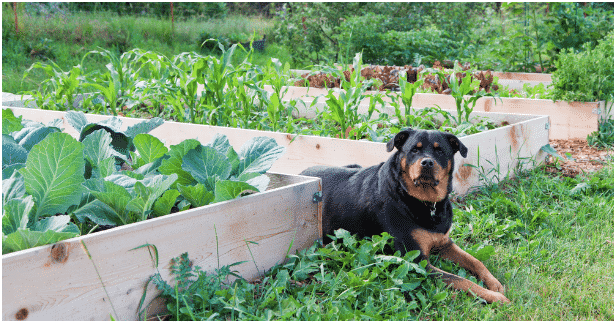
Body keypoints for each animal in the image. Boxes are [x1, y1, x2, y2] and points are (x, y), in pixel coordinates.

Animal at [302, 127, 510, 304]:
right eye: (414, 150)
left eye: (440, 151)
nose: (427, 162)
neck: (425, 202)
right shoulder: (417, 261)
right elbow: (460, 280)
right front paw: (495, 297)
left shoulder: (444, 243)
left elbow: (476, 261)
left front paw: (495, 284)